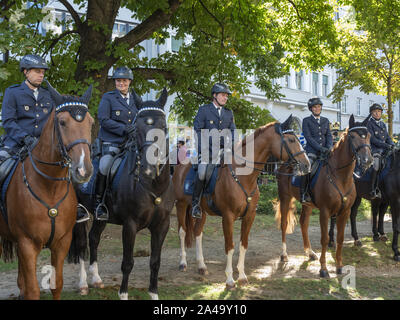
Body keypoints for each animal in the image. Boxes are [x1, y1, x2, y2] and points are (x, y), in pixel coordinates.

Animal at [0, 84, 93, 298]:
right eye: (62, 122)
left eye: (91, 122)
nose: (83, 169)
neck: (49, 187)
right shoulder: (27, 243)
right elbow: (33, 290)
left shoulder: (62, 242)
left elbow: (56, 284)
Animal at [68, 88, 174, 300]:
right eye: (138, 127)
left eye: (163, 126)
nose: (149, 169)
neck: (153, 186)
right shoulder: (130, 225)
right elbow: (127, 263)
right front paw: (123, 294)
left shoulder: (162, 225)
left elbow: (155, 262)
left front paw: (154, 294)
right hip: (79, 213)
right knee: (82, 244)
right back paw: (83, 284)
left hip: (100, 216)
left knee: (94, 238)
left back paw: (96, 279)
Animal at [172, 115, 310, 290]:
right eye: (291, 139)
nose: (307, 164)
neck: (243, 176)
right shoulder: (228, 217)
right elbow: (230, 246)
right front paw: (230, 279)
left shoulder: (249, 216)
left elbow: (243, 244)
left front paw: (242, 276)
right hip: (181, 205)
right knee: (182, 232)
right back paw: (183, 263)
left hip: (201, 211)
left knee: (197, 233)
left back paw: (201, 266)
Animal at [274, 115, 374, 278]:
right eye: (353, 136)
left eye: (369, 136)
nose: (367, 160)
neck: (340, 176)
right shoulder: (325, 211)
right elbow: (325, 239)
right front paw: (323, 269)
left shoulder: (344, 211)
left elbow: (340, 238)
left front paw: (339, 266)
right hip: (285, 198)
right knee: (283, 224)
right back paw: (284, 255)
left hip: (307, 204)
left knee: (304, 223)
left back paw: (309, 253)